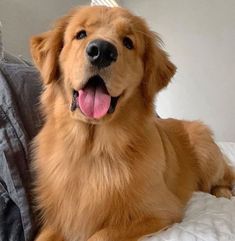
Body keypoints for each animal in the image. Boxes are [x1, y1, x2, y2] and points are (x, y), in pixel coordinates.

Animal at [30, 5, 234, 241]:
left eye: (128, 42)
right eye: (80, 34)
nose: (102, 51)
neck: (93, 149)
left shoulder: (160, 211)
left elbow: (100, 235)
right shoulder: (60, 219)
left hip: (206, 152)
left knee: (225, 177)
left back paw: (223, 192)